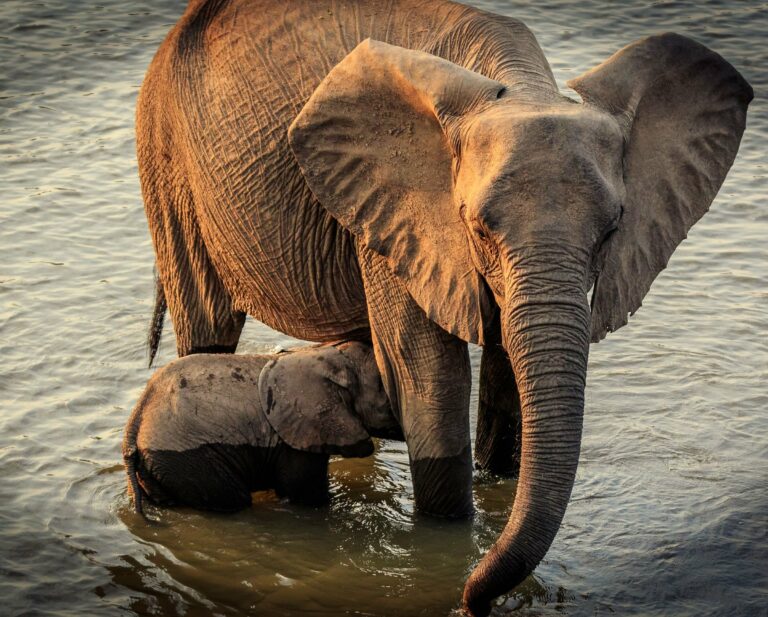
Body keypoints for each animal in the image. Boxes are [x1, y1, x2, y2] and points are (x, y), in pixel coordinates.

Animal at [123, 341, 399, 513]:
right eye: (385, 393)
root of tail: (134, 425)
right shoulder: (295, 438)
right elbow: (305, 493)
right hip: (187, 460)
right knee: (234, 501)